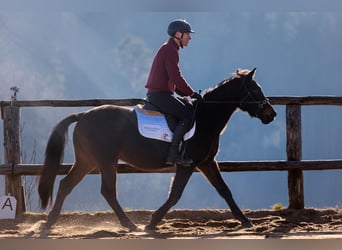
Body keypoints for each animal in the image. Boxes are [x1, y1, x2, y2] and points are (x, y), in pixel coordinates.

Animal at [38, 68, 276, 230]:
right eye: (255, 89)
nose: (271, 114)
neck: (205, 118)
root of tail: (83, 115)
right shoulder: (188, 164)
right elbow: (176, 194)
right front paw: (152, 222)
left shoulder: (207, 163)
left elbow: (224, 190)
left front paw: (245, 221)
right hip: (105, 160)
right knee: (107, 190)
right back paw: (129, 224)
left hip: (88, 160)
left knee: (66, 184)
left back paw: (50, 222)